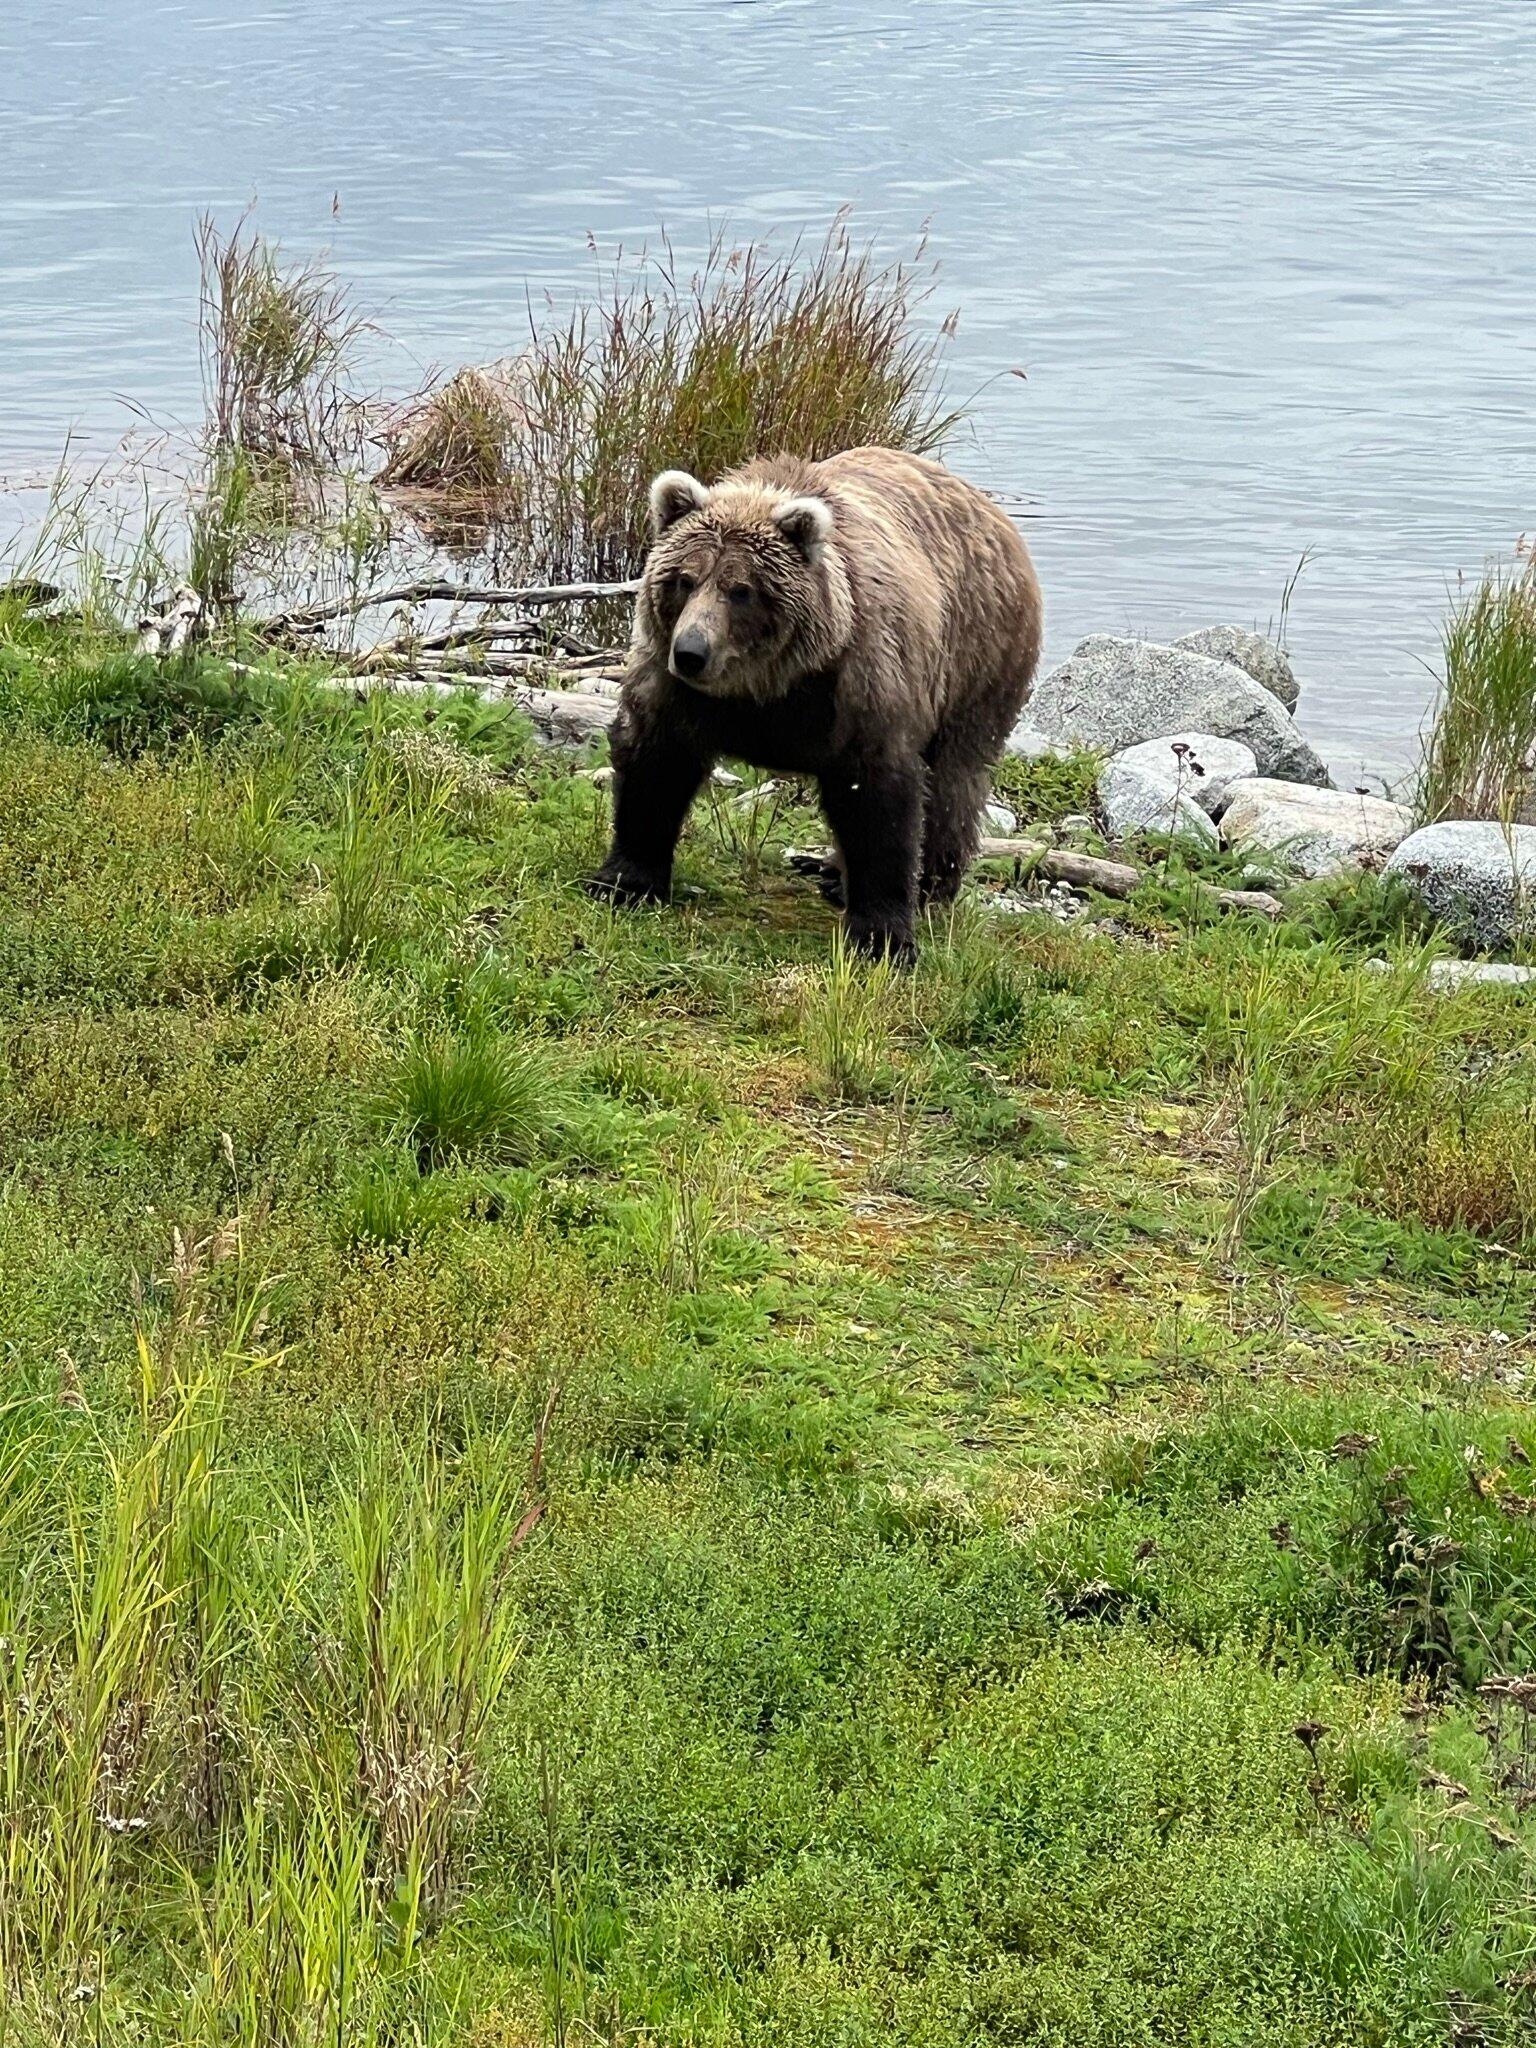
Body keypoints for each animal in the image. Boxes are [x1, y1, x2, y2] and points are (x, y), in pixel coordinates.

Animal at [589, 444, 1048, 954]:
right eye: (684, 579)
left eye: (740, 589)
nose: (691, 652)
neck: (768, 686)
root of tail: (989, 508)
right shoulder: (677, 689)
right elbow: (655, 763)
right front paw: (625, 881)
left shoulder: (860, 684)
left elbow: (878, 800)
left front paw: (884, 935)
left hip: (977, 656)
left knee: (954, 781)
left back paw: (925, 883)